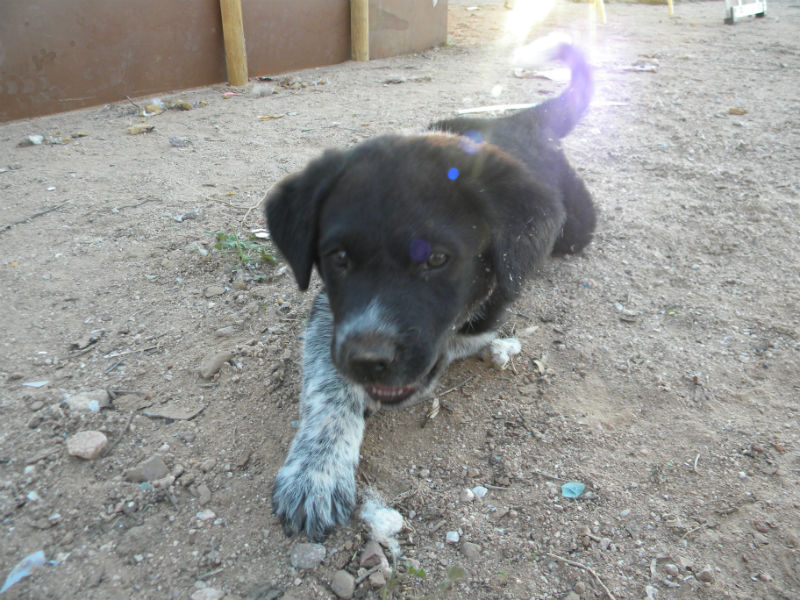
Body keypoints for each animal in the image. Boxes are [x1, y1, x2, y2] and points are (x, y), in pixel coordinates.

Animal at [265, 37, 596, 541]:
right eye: (338, 258)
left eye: (437, 259)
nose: (368, 361)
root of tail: (519, 119)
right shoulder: (331, 314)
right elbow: (328, 383)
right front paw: (315, 473)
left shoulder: (491, 309)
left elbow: (448, 345)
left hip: (577, 226)